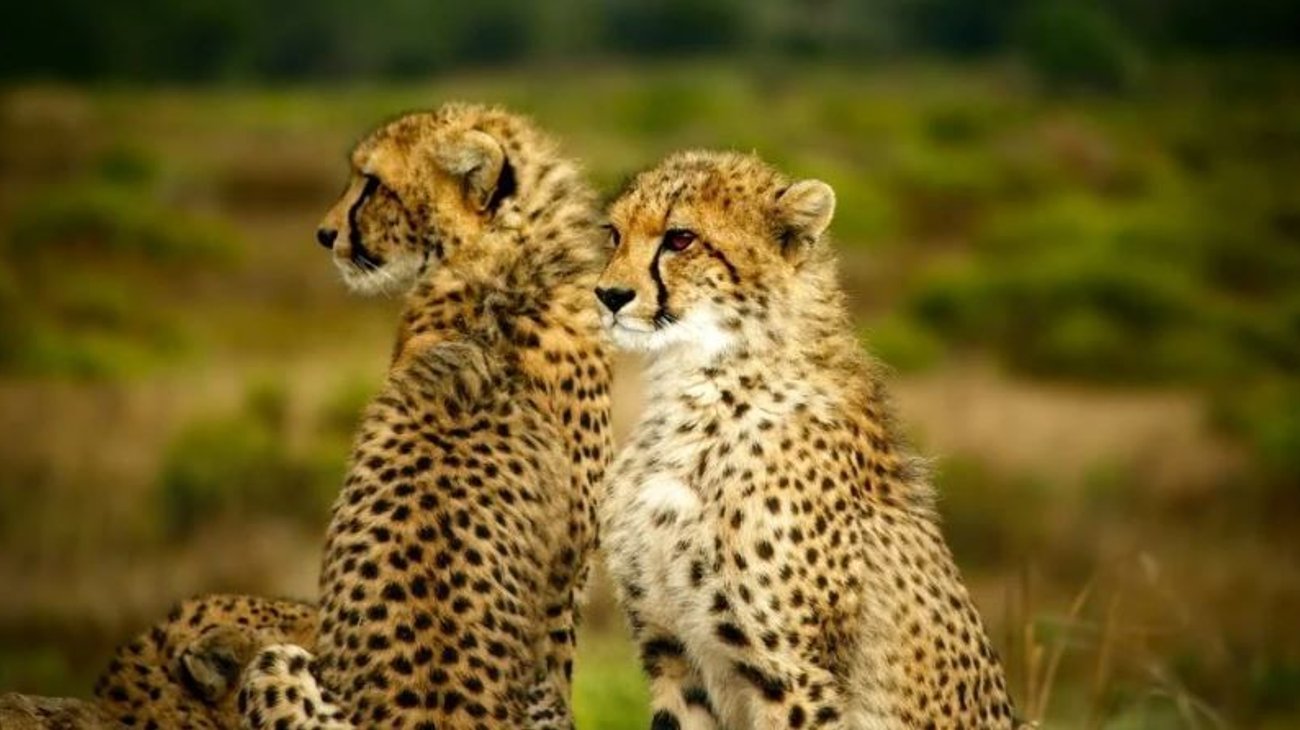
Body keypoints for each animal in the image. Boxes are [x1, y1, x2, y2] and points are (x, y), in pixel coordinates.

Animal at [596, 150, 1018, 729]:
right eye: (614, 234)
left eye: (680, 239)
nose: (609, 295)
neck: (695, 385)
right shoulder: (670, 653)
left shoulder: (792, 674)